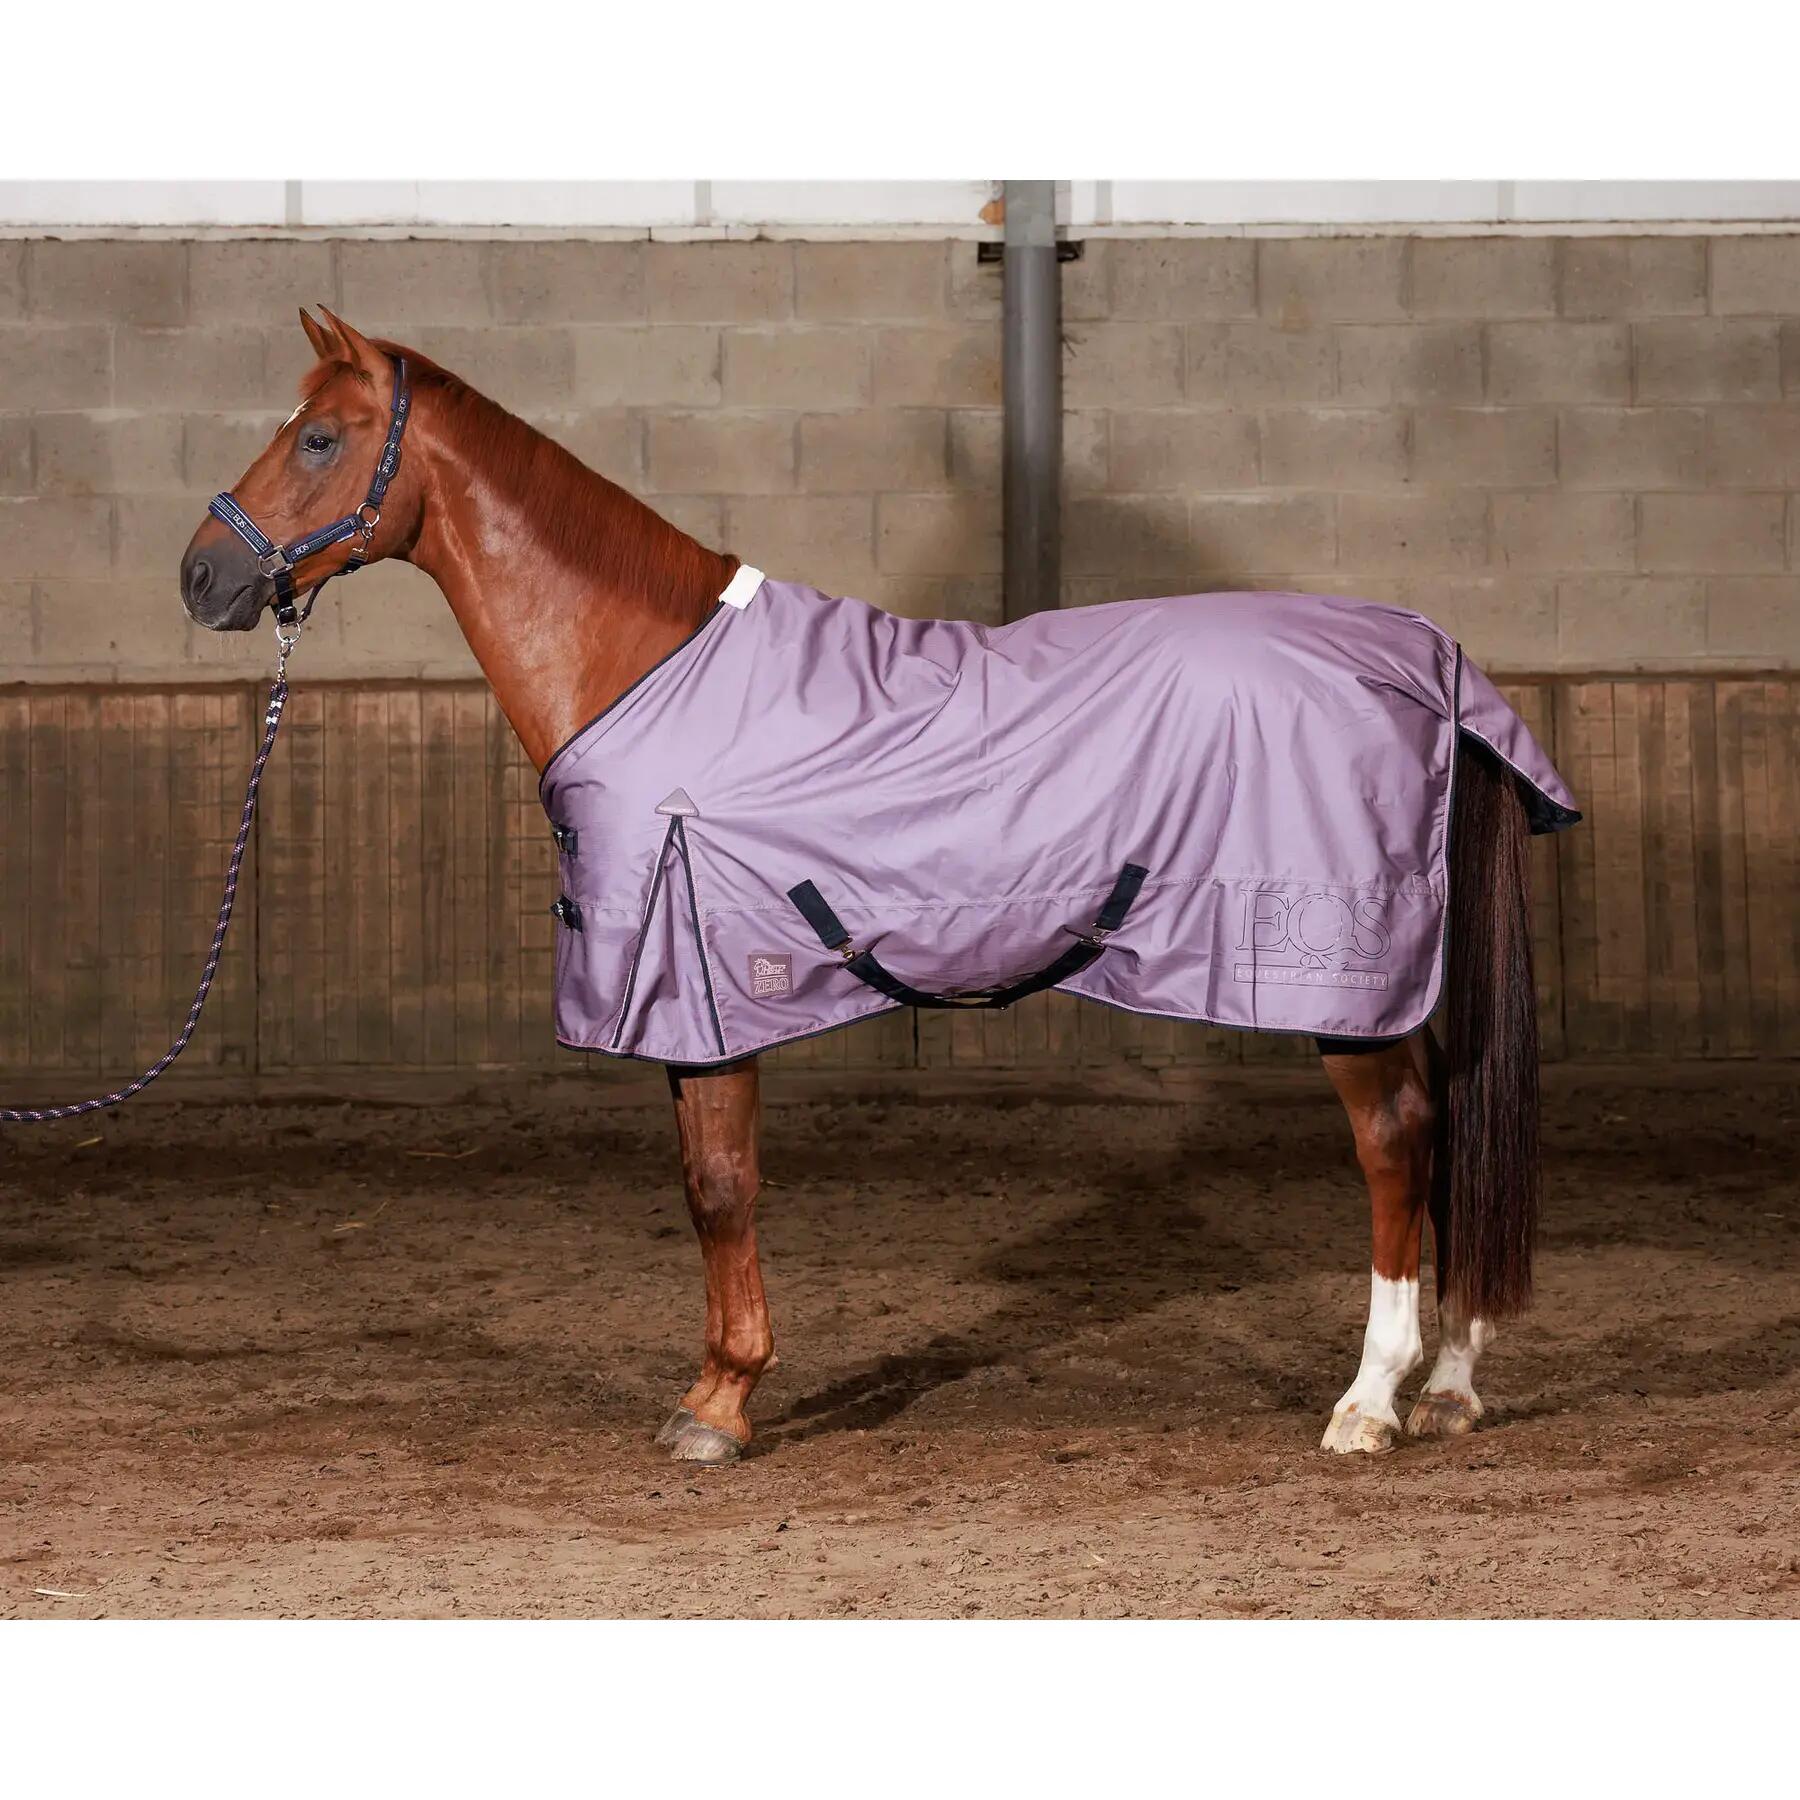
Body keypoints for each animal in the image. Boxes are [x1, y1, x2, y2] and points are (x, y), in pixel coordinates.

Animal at [179, 307, 1574, 1465]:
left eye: (318, 436)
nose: (202, 577)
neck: (644, 666)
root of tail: (1423, 658)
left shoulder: (707, 989)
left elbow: (720, 1187)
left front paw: (722, 1407)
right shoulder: (700, 1001)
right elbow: (705, 1186)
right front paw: (713, 1389)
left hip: (1343, 981)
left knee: (1398, 1142)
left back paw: (1368, 1402)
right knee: (1450, 1125)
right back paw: (1451, 1387)